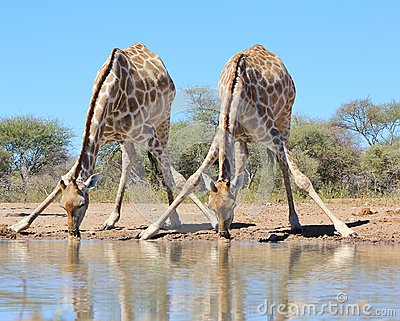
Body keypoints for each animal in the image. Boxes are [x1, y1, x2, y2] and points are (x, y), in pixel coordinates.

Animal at [10, 42, 216, 236]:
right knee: (129, 160)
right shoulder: (101, 135)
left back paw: (174, 219)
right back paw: (112, 219)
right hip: (126, 137)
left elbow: (179, 177)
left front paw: (212, 218)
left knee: (164, 167)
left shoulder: (146, 134)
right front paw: (20, 224)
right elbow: (67, 176)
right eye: (63, 205)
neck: (112, 91)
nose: (72, 231)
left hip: (163, 119)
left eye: (82, 204)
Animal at [140, 43, 356, 239]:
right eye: (211, 205)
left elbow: (302, 179)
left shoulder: (272, 132)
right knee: (242, 166)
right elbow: (192, 180)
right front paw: (150, 230)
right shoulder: (223, 134)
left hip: (284, 119)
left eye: (233, 204)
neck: (237, 88)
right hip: (241, 138)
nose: (223, 233)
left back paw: (295, 222)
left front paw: (343, 228)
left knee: (283, 165)